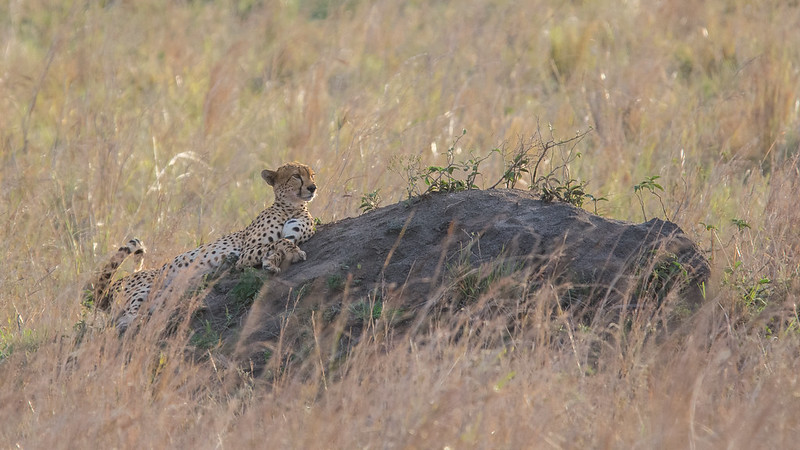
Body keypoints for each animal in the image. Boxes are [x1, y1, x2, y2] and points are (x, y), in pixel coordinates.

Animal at [84, 162, 316, 330]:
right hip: (145, 288)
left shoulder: (293, 235)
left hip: (162, 294)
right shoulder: (245, 253)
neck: (291, 206)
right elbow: (278, 242)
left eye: (312, 175)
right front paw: (288, 254)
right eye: (296, 175)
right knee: (121, 319)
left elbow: (282, 244)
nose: (313, 187)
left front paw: (274, 261)